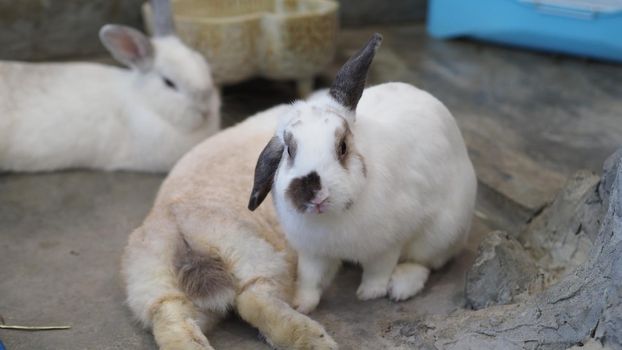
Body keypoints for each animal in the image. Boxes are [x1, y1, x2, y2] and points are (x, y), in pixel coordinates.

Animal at [249, 32, 478, 314]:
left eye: (342, 147)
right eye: (289, 150)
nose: (315, 194)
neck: (332, 218)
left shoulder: (388, 245)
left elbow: (378, 270)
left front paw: (370, 293)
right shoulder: (312, 253)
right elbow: (309, 279)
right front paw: (301, 305)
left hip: (441, 232)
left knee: (424, 262)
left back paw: (401, 287)